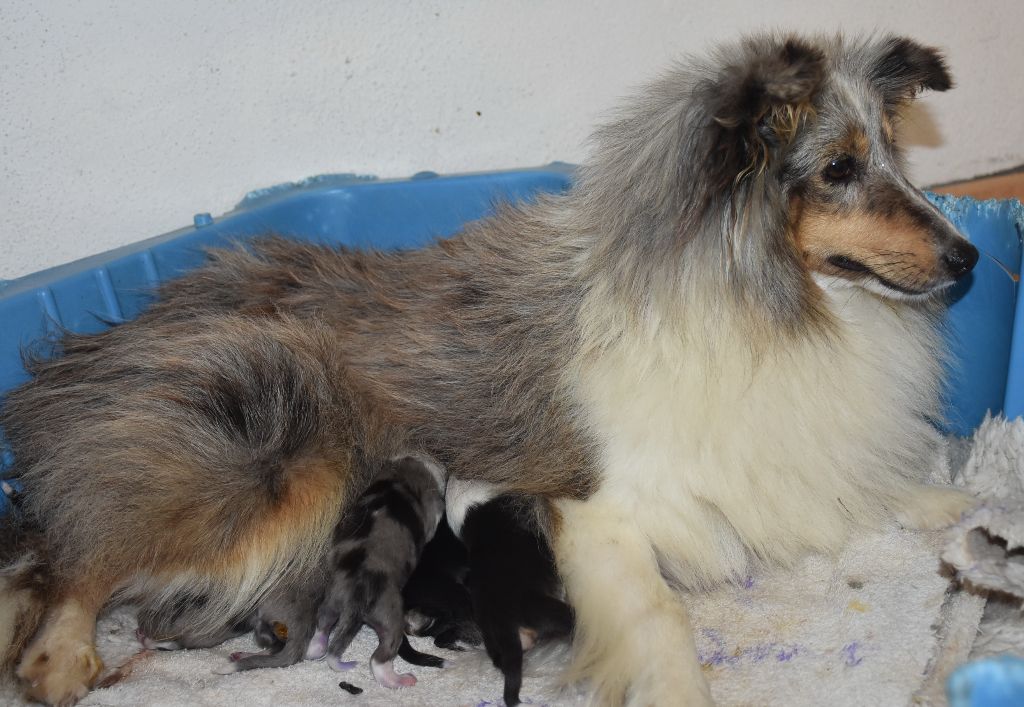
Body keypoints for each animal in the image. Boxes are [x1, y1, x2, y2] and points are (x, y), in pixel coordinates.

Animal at [305, 454, 446, 684]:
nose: (442, 465)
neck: (402, 476)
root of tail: (357, 595)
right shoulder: (431, 507)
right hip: (390, 618)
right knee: (379, 659)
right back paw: (401, 680)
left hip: (332, 600)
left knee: (323, 625)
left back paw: (315, 647)